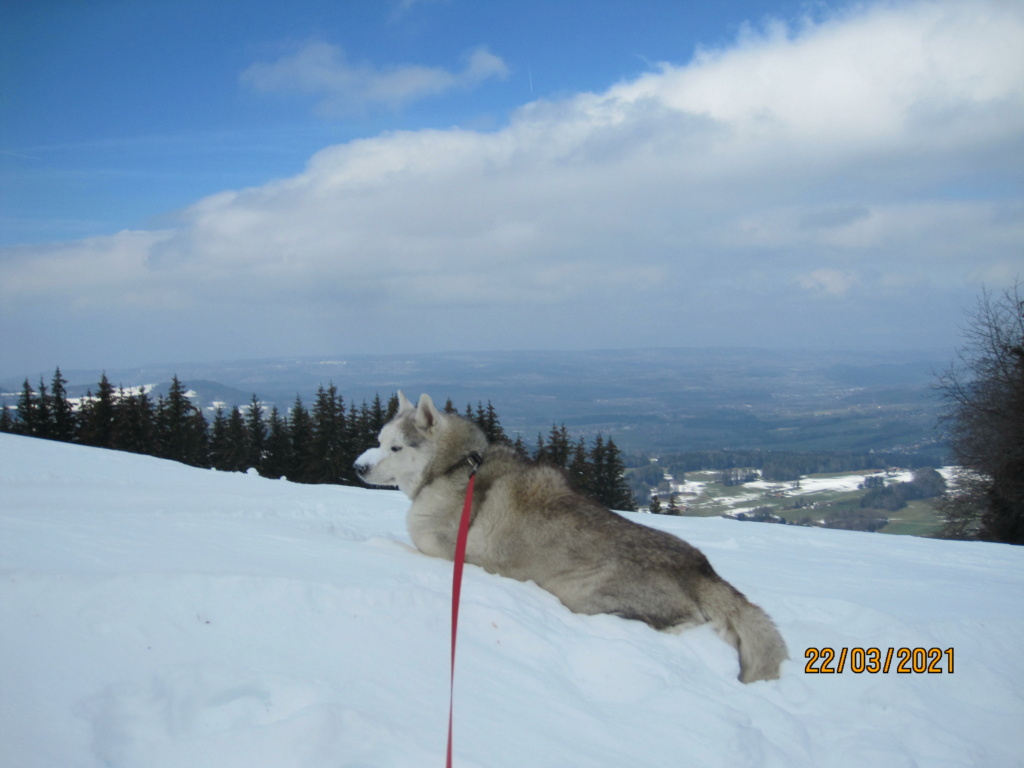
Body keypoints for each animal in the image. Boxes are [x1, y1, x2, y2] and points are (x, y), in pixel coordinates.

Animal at [356, 393, 786, 684]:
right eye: (377, 440)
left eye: (395, 447)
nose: (358, 467)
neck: (455, 467)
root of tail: (700, 568)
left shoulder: (442, 551)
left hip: (586, 594)